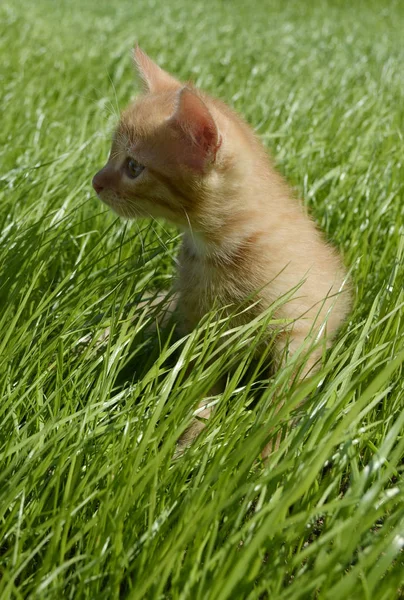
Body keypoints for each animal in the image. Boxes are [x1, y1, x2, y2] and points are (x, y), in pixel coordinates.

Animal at [93, 47, 352, 448]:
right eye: (111, 154)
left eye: (133, 167)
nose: (95, 182)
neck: (221, 249)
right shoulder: (199, 327)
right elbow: (198, 388)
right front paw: (191, 434)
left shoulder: (302, 328)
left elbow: (283, 396)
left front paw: (267, 446)